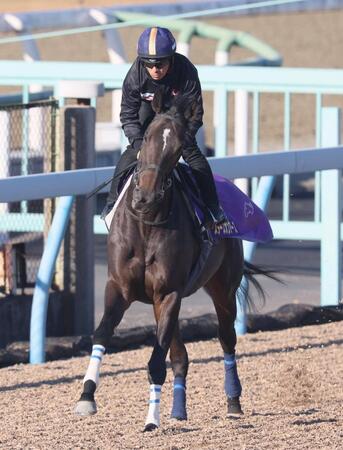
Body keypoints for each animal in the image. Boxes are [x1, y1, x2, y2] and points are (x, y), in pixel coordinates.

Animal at [74, 87, 272, 428]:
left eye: (179, 146)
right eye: (147, 136)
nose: (144, 197)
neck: (146, 223)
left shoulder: (168, 293)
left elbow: (156, 361)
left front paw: (151, 420)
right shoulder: (119, 287)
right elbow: (102, 334)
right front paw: (87, 396)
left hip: (222, 289)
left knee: (226, 338)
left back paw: (233, 401)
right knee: (180, 356)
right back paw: (178, 410)